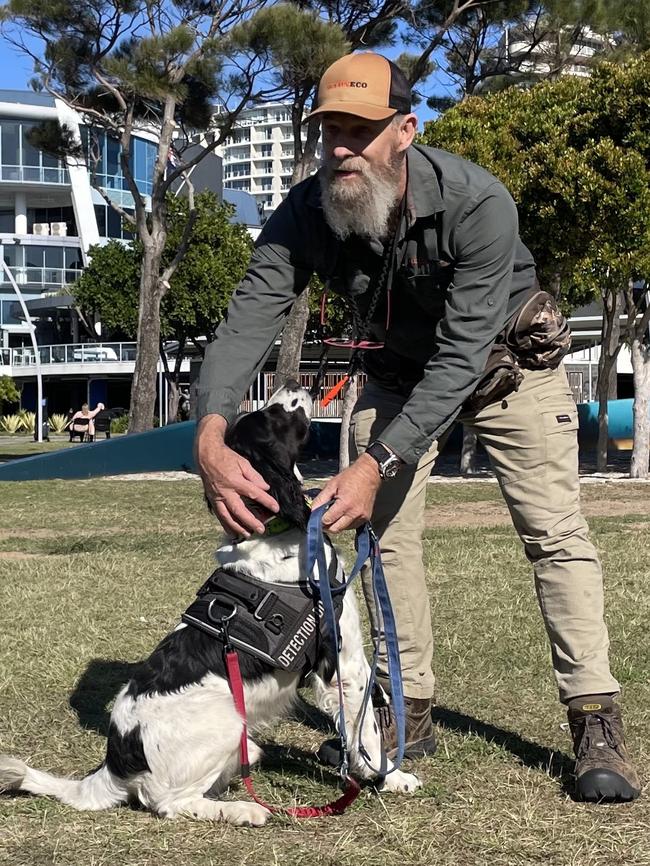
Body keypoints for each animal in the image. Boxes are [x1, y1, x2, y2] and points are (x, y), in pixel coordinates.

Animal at [0, 384, 420, 824]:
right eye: (273, 416)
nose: (294, 384)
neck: (276, 535)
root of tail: (115, 763)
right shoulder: (345, 665)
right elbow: (366, 731)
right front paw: (391, 777)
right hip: (230, 724)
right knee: (169, 803)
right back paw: (243, 809)